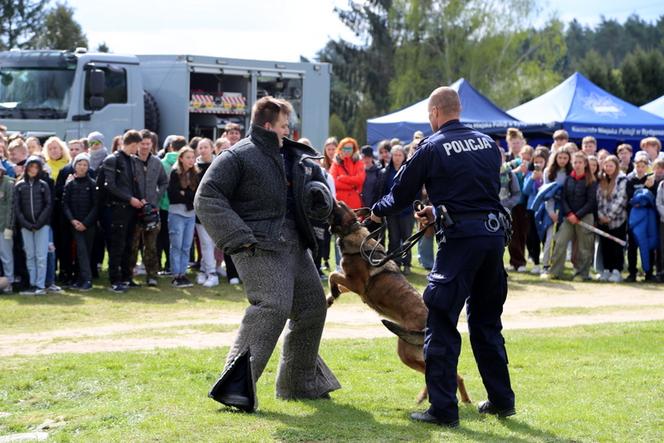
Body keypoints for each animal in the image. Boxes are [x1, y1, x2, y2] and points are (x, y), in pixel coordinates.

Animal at [326, 201, 470, 406]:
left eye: (338, 204)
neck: (351, 230)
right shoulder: (353, 285)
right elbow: (337, 281)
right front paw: (331, 297)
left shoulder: (357, 284)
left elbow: (333, 275)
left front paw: (334, 291)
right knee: (451, 375)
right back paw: (458, 399)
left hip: (405, 353)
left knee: (439, 375)